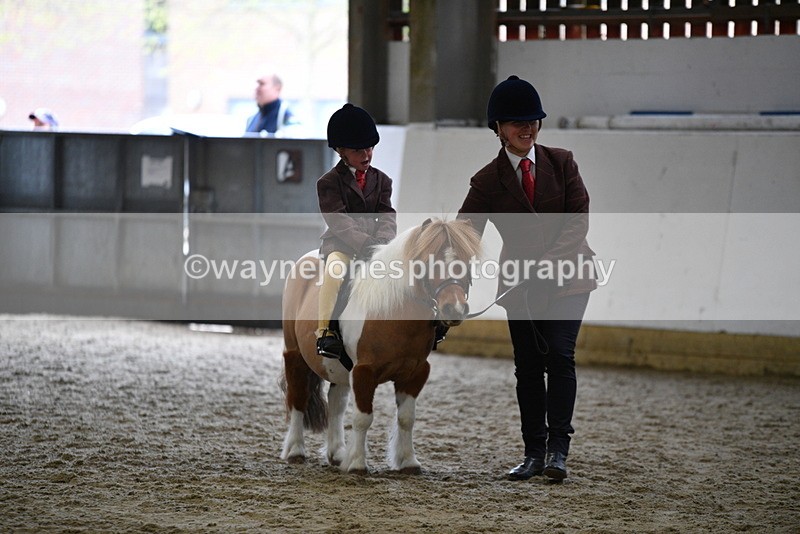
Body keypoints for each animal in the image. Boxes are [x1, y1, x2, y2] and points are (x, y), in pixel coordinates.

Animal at [280, 217, 482, 473]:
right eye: (429, 260)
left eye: (467, 260)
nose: (453, 309)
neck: (395, 312)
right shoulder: (364, 372)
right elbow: (363, 418)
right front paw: (357, 464)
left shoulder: (415, 373)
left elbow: (406, 418)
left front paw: (408, 462)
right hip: (294, 355)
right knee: (298, 398)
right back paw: (295, 450)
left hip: (339, 369)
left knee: (336, 405)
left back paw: (337, 453)